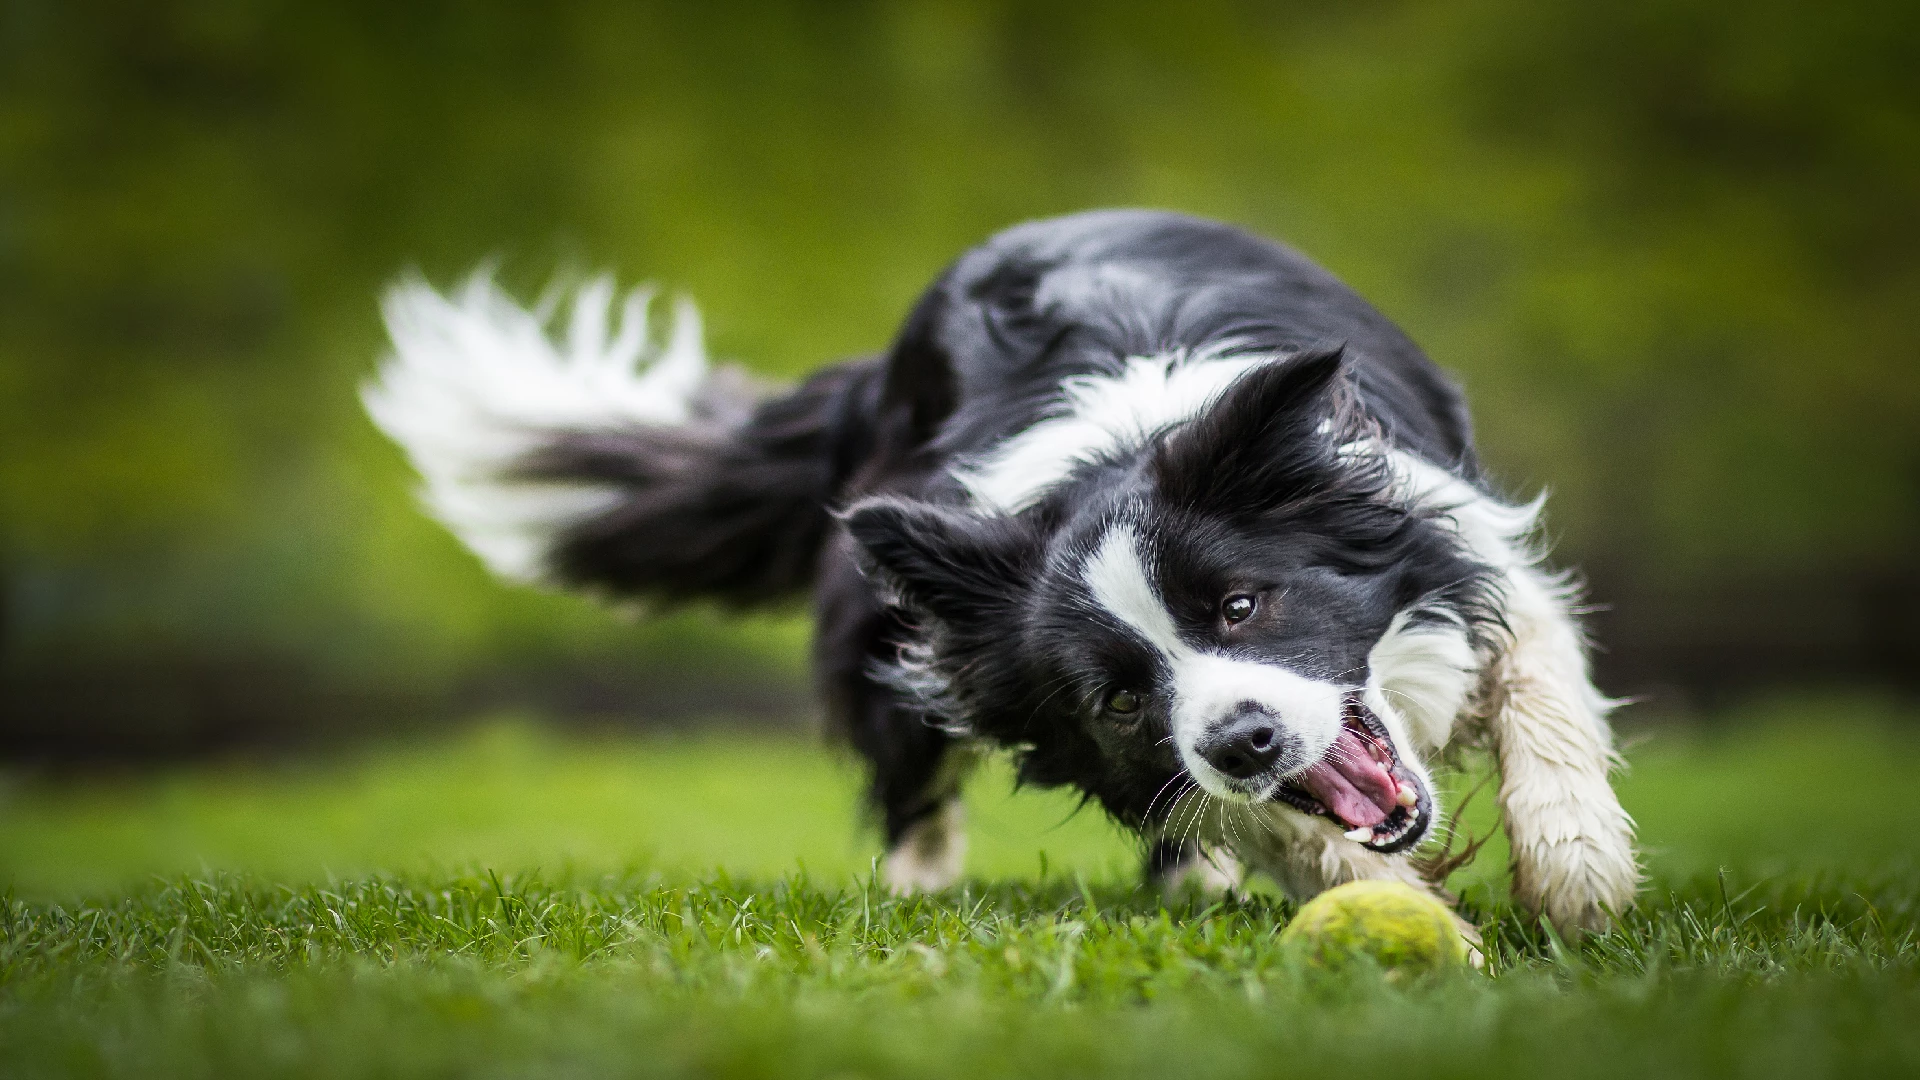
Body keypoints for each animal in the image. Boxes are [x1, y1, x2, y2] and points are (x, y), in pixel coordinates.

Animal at [370, 210, 1635, 933]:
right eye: (1119, 700)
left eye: (1240, 604)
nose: (1243, 741)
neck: (1119, 450)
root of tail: (870, 380)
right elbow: (1271, 823)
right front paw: (1397, 909)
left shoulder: (1460, 533)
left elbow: (1540, 687)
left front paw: (1576, 876)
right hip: (886, 616)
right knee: (914, 778)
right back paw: (923, 893)